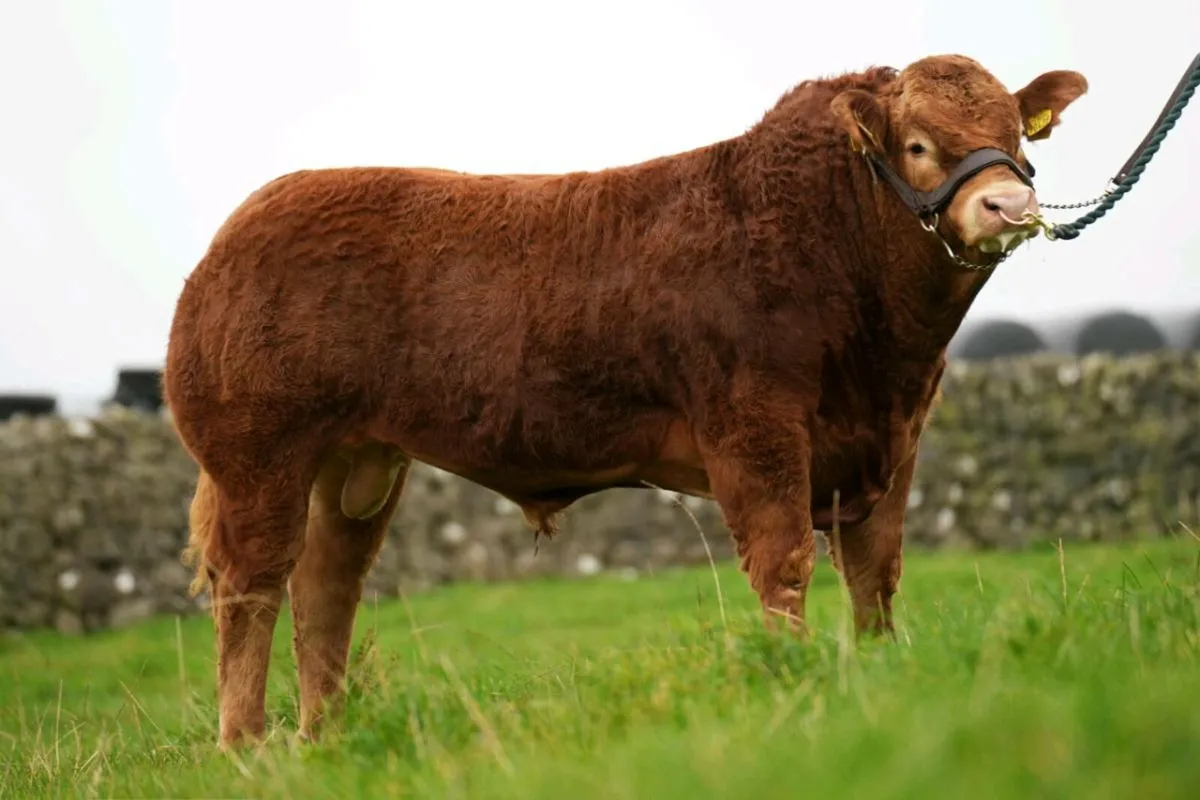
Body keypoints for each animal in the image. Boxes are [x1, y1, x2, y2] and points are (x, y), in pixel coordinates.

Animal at [164, 53, 1088, 749]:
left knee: (327, 587)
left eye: (1017, 135)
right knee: (251, 587)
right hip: (258, 457)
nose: (1008, 202)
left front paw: (879, 667)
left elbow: (876, 569)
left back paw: (327, 737)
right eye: (921, 144)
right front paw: (792, 677)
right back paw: (246, 747)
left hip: (358, 462)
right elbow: (784, 561)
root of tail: (241, 226)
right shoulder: (754, 428)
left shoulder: (895, 435)